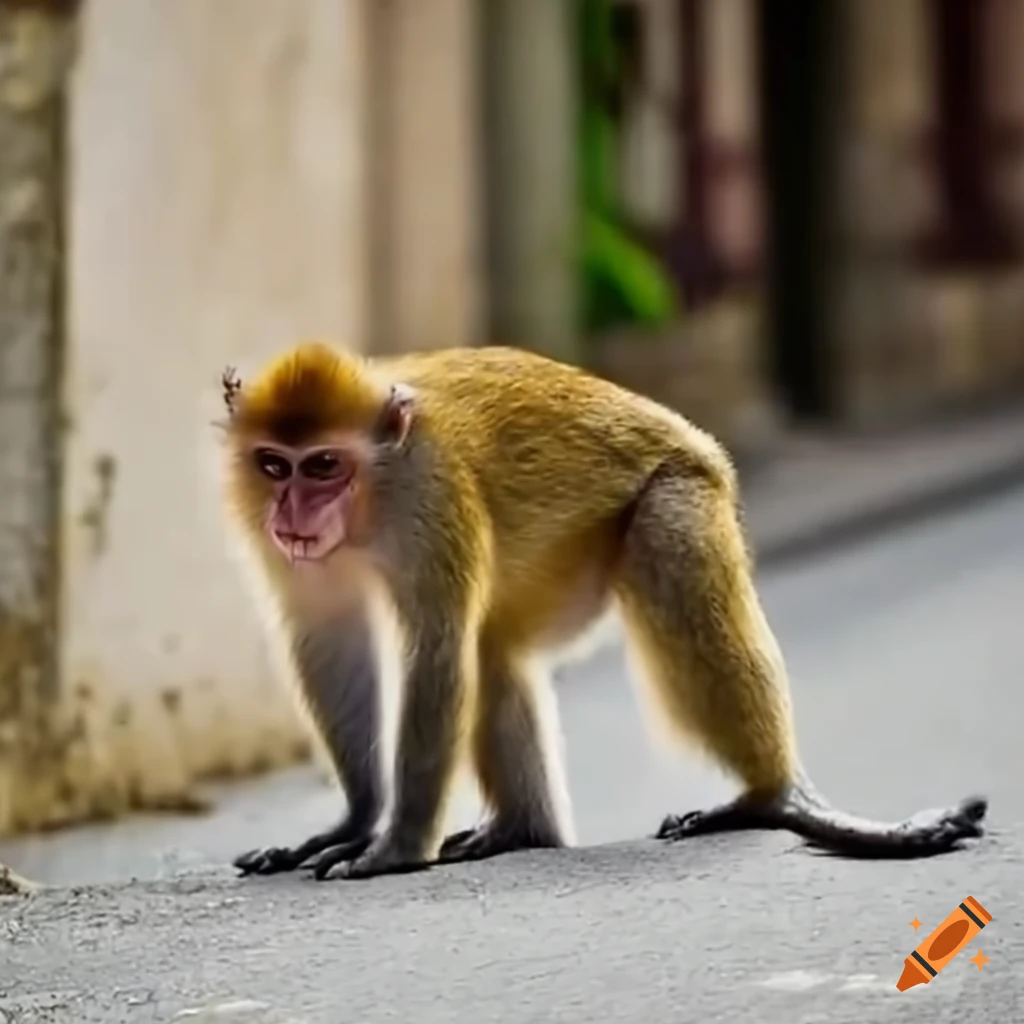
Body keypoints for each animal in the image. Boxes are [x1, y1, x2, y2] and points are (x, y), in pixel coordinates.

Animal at [218, 342, 987, 881]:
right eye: (274, 464)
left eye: (323, 465)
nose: (292, 513)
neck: (371, 499)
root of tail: (697, 439)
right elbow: (332, 640)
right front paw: (355, 823)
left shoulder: (429, 496)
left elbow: (435, 648)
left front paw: (399, 844)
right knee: (496, 648)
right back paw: (521, 832)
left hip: (681, 491)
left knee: (662, 558)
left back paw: (769, 798)